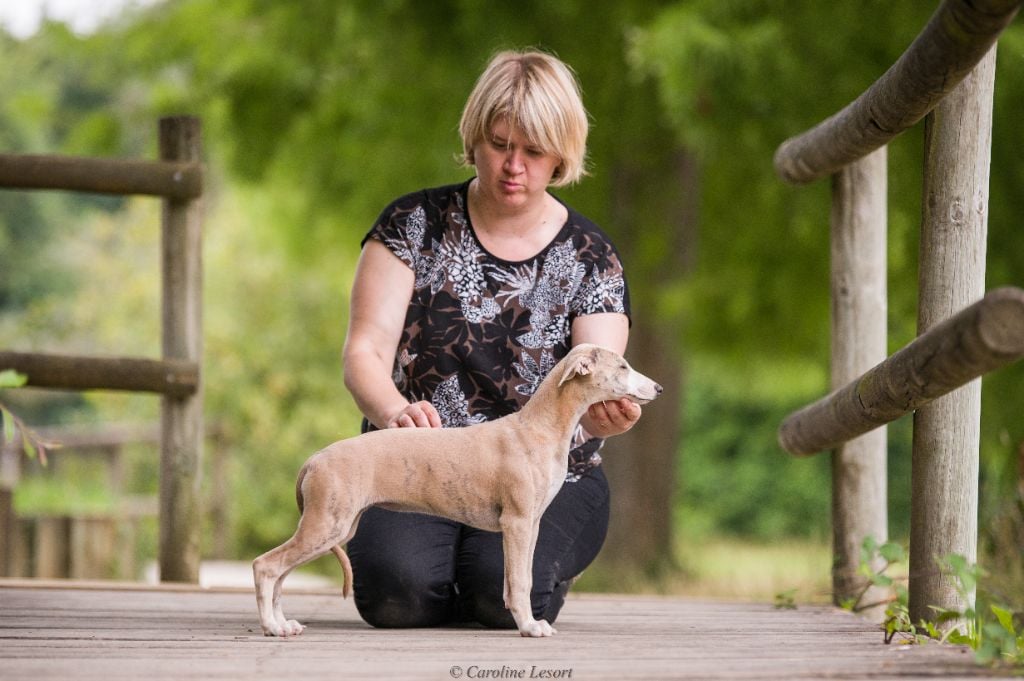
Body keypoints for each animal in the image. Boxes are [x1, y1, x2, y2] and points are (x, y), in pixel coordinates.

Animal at [251, 346, 659, 639]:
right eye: (623, 366)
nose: (658, 388)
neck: (539, 428)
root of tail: (314, 459)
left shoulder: (532, 525)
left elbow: (521, 577)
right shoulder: (517, 522)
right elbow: (519, 581)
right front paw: (530, 627)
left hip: (332, 526)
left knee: (280, 573)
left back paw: (283, 624)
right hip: (327, 525)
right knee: (266, 566)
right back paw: (272, 627)